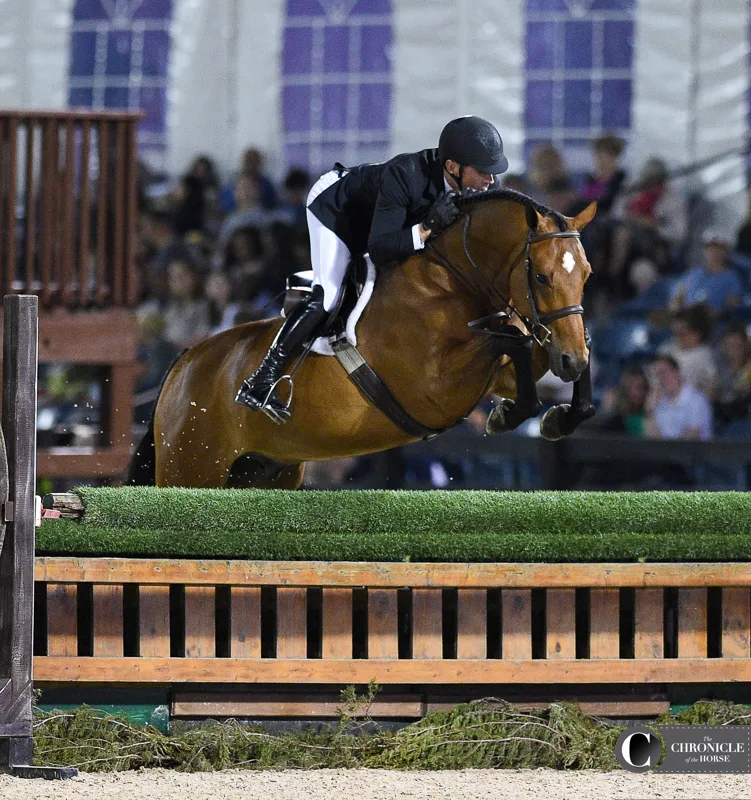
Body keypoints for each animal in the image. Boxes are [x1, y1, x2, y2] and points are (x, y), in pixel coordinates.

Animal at [131, 189, 600, 488]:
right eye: (541, 277)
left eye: (587, 274)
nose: (570, 361)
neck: (452, 279)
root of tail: (183, 364)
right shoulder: (432, 387)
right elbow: (515, 343)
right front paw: (510, 414)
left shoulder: (498, 367)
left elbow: (528, 349)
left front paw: (558, 415)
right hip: (191, 468)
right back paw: (259, 390)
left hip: (263, 471)